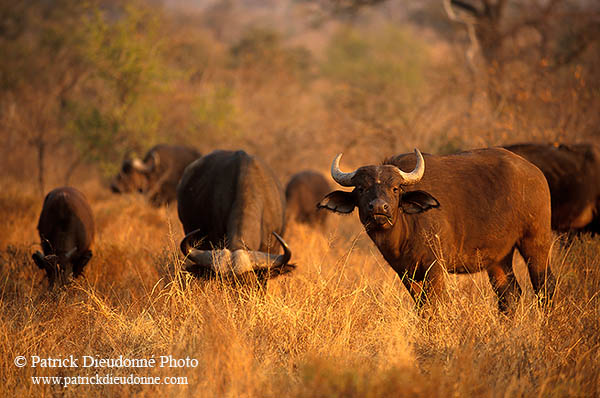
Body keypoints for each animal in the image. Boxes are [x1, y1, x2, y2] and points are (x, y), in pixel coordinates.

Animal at [318, 148, 556, 310]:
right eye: (361, 188)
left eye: (395, 188)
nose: (378, 208)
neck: (405, 232)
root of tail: (535, 173)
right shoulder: (406, 273)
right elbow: (422, 307)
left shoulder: (435, 267)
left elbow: (435, 304)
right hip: (499, 258)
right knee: (509, 294)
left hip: (536, 241)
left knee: (545, 285)